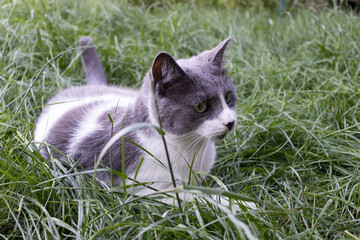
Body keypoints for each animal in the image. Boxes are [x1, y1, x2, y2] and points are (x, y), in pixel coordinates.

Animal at [34, 36, 253, 209]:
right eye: (201, 106)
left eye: (228, 96)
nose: (230, 122)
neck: (189, 147)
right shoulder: (148, 190)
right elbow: (198, 199)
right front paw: (246, 205)